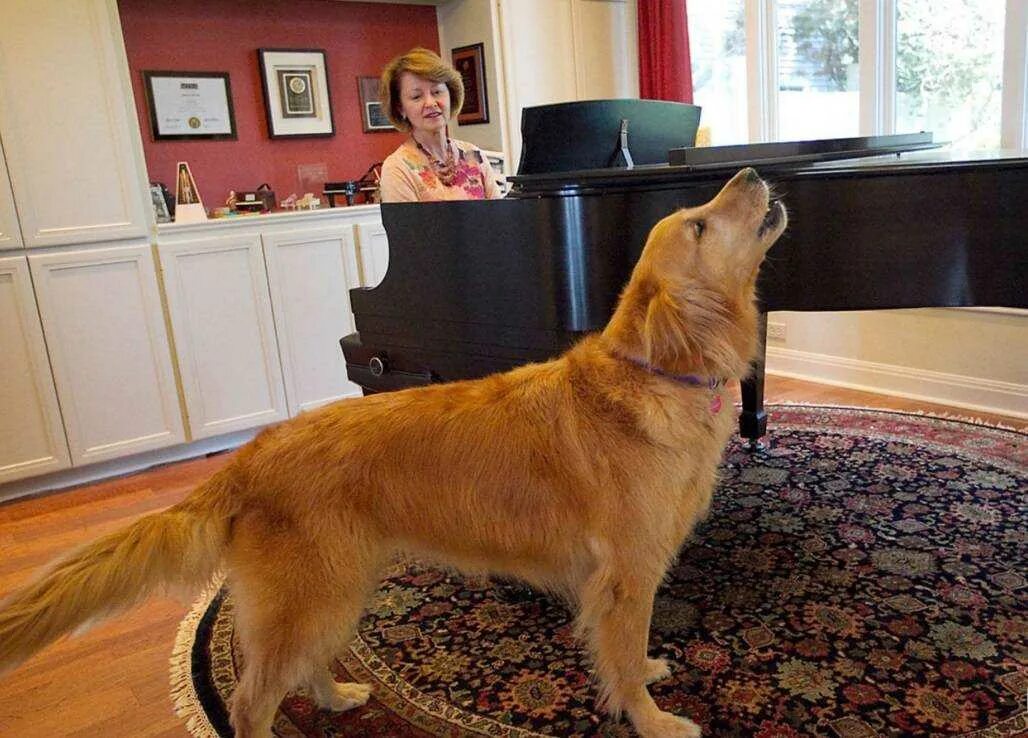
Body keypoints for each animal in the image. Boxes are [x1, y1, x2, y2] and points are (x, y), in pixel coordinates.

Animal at [0, 168, 786, 738]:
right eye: (699, 223)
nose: (750, 169)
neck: (655, 374)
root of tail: (249, 455)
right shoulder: (625, 574)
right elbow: (617, 658)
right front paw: (653, 720)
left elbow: (631, 650)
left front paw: (649, 669)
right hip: (311, 592)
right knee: (252, 700)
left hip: (335, 585)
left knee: (302, 667)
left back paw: (338, 696)